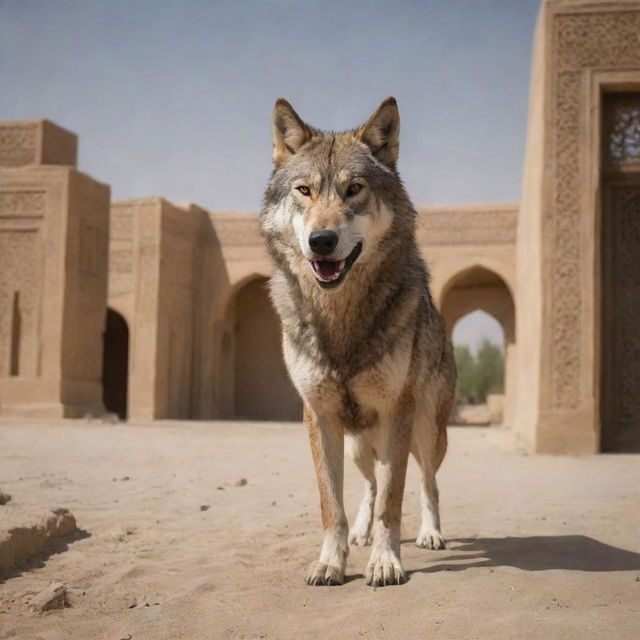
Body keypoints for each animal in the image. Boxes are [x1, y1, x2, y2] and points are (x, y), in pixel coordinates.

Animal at [258, 97, 456, 588]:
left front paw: (386, 562)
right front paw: (332, 561)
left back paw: (430, 535)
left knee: (427, 482)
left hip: (425, 432)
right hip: (359, 444)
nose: (321, 240)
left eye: (354, 190)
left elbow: (392, 501)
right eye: (305, 191)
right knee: (369, 483)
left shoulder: (397, 413)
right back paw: (361, 534)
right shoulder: (319, 415)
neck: (340, 321)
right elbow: (333, 505)